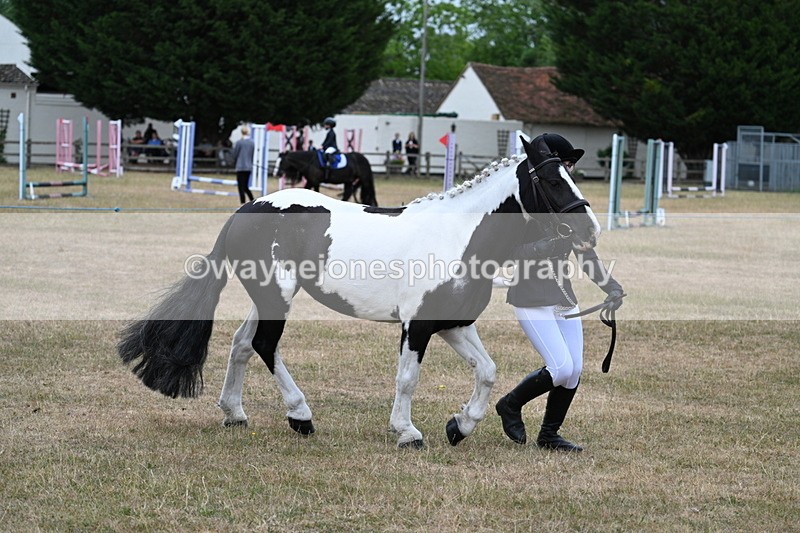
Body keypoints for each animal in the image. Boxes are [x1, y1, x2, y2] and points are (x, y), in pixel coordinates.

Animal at [117, 135, 601, 449]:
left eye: (571, 175)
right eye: (552, 181)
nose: (591, 230)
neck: (460, 236)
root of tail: (245, 210)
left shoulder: (454, 324)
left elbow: (487, 371)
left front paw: (459, 427)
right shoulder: (417, 326)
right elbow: (408, 379)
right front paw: (407, 432)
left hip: (268, 298)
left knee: (241, 344)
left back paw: (234, 414)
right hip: (276, 297)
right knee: (264, 345)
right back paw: (301, 416)